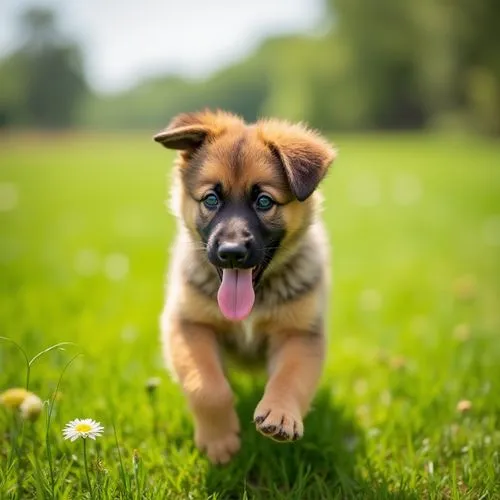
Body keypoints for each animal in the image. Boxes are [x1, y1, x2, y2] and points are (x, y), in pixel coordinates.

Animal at [154, 109, 338, 464]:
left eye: (264, 201)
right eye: (211, 199)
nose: (231, 252)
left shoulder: (299, 334)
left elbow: (290, 377)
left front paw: (281, 414)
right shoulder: (189, 326)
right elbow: (207, 386)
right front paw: (219, 440)